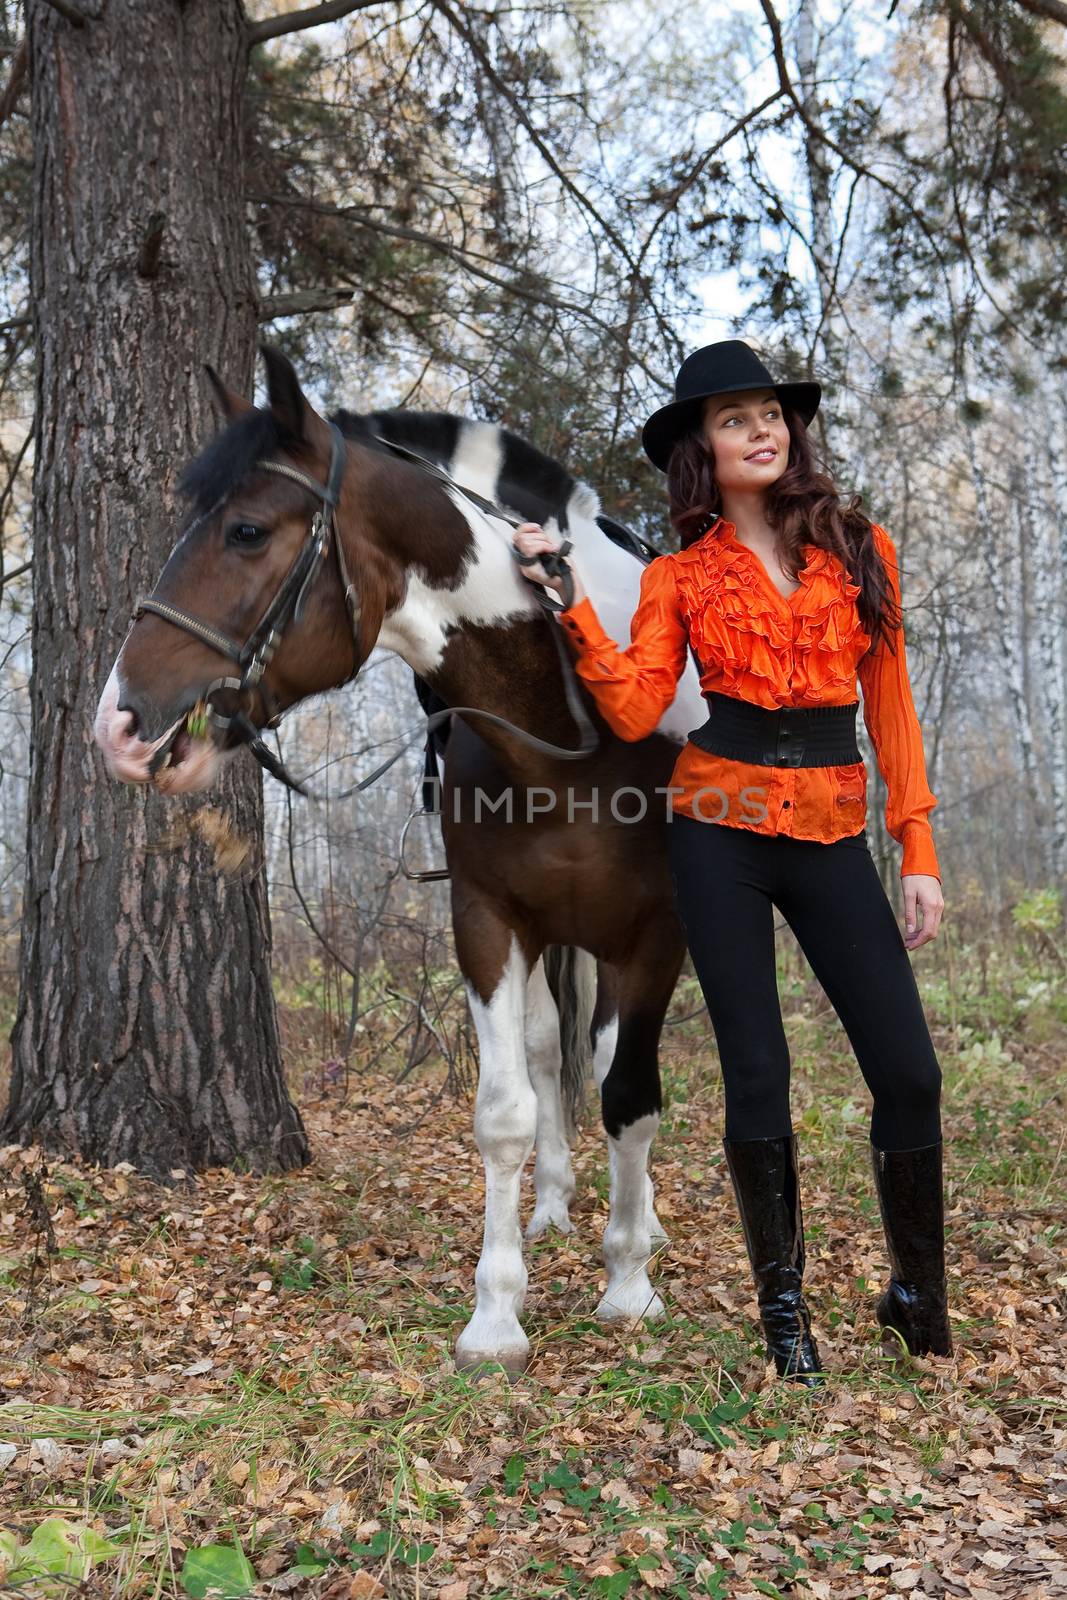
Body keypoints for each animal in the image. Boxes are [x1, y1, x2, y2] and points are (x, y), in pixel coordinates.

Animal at [93, 347, 710, 1363]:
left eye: (246, 531)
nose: (119, 725)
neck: (570, 722)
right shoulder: (488, 921)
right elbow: (505, 1112)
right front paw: (497, 1314)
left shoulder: (654, 932)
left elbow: (631, 1095)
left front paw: (628, 1284)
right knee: (550, 1054)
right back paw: (552, 1208)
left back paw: (641, 1225)